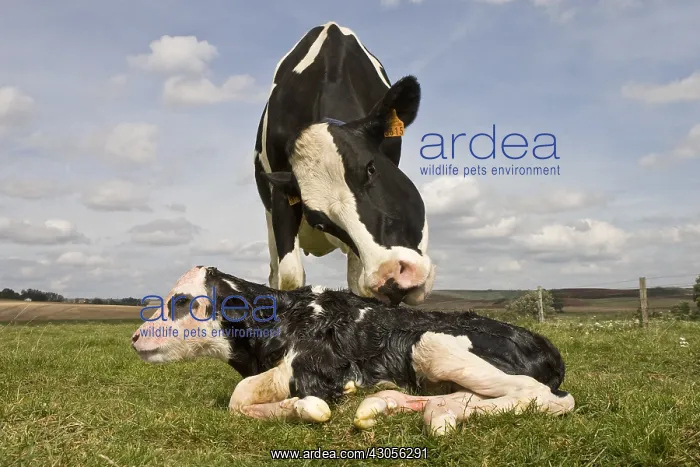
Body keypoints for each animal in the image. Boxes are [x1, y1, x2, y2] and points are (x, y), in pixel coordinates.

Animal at [131, 266, 575, 436]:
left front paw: (305, 407)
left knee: (547, 398)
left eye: (181, 301)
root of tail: (547, 347)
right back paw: (394, 404)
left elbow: (240, 398)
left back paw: (434, 417)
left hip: (432, 343)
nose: (134, 337)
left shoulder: (314, 365)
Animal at [254, 21, 435, 306]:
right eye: (319, 222)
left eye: (371, 168)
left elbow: (359, 286)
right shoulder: (281, 196)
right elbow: (290, 278)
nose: (392, 278)